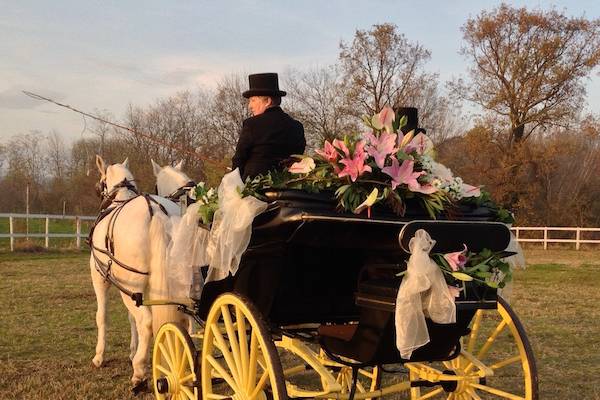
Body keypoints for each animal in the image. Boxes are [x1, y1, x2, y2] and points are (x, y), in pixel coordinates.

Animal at [88, 155, 183, 388]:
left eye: (102, 180)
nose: (98, 190)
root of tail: (155, 211)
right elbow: (131, 319)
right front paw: (133, 350)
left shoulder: (100, 278)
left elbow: (101, 316)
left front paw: (99, 356)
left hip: (129, 285)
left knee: (146, 322)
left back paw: (139, 370)